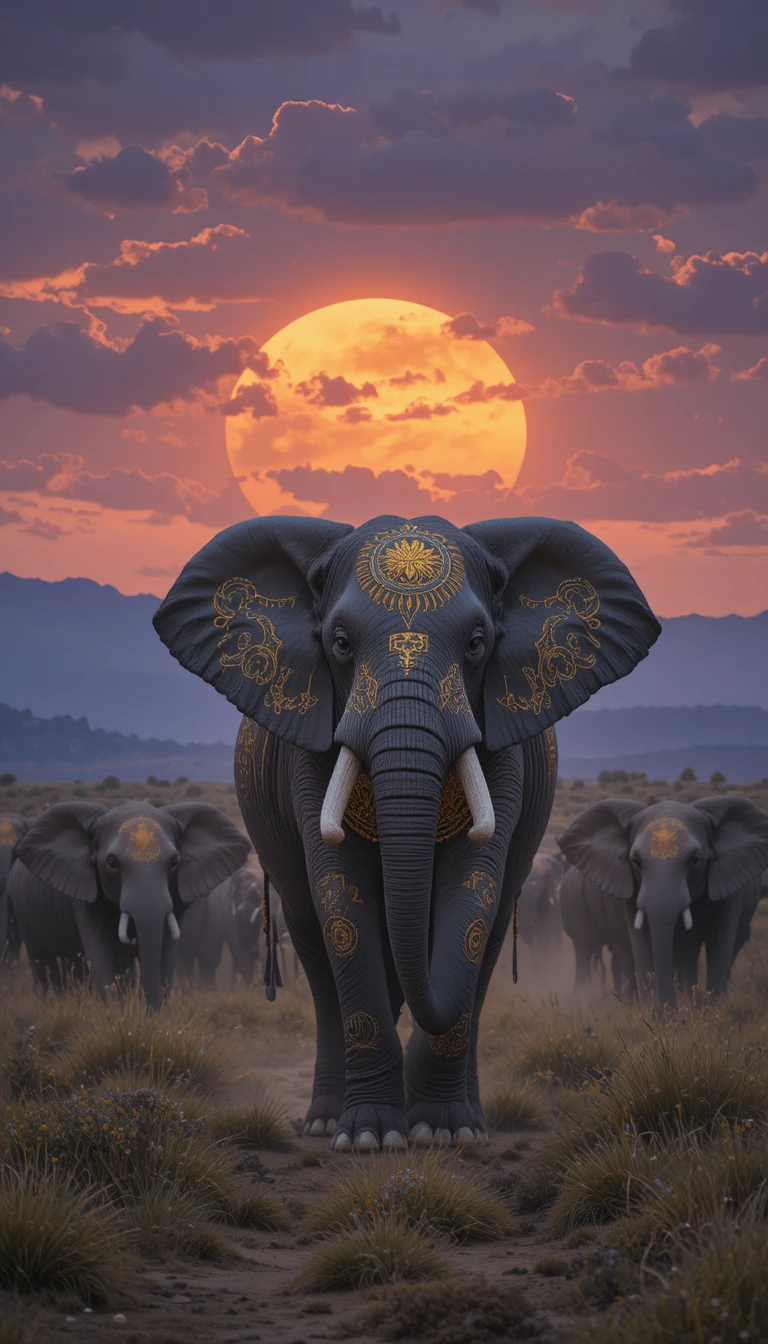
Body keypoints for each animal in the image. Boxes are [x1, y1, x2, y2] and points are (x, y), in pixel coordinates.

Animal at [10, 801, 250, 1009]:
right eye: (112, 864)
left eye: (174, 863)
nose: (149, 1015)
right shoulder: (85, 897)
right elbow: (100, 955)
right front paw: (114, 1018)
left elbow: (165, 955)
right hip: (23, 911)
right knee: (43, 962)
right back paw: (49, 1003)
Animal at [154, 512, 659, 1149]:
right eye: (340, 643)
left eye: (477, 643)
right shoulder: (312, 744)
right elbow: (341, 900)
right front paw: (371, 1137)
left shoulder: (502, 745)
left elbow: (472, 897)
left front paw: (441, 1132)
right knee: (315, 943)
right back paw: (324, 1121)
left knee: (491, 936)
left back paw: (469, 1122)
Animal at [558, 796, 768, 1007]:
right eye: (635, 860)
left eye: (696, 859)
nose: (668, 1008)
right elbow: (641, 944)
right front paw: (655, 1010)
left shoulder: (729, 889)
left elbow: (719, 946)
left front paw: (709, 1010)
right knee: (587, 948)